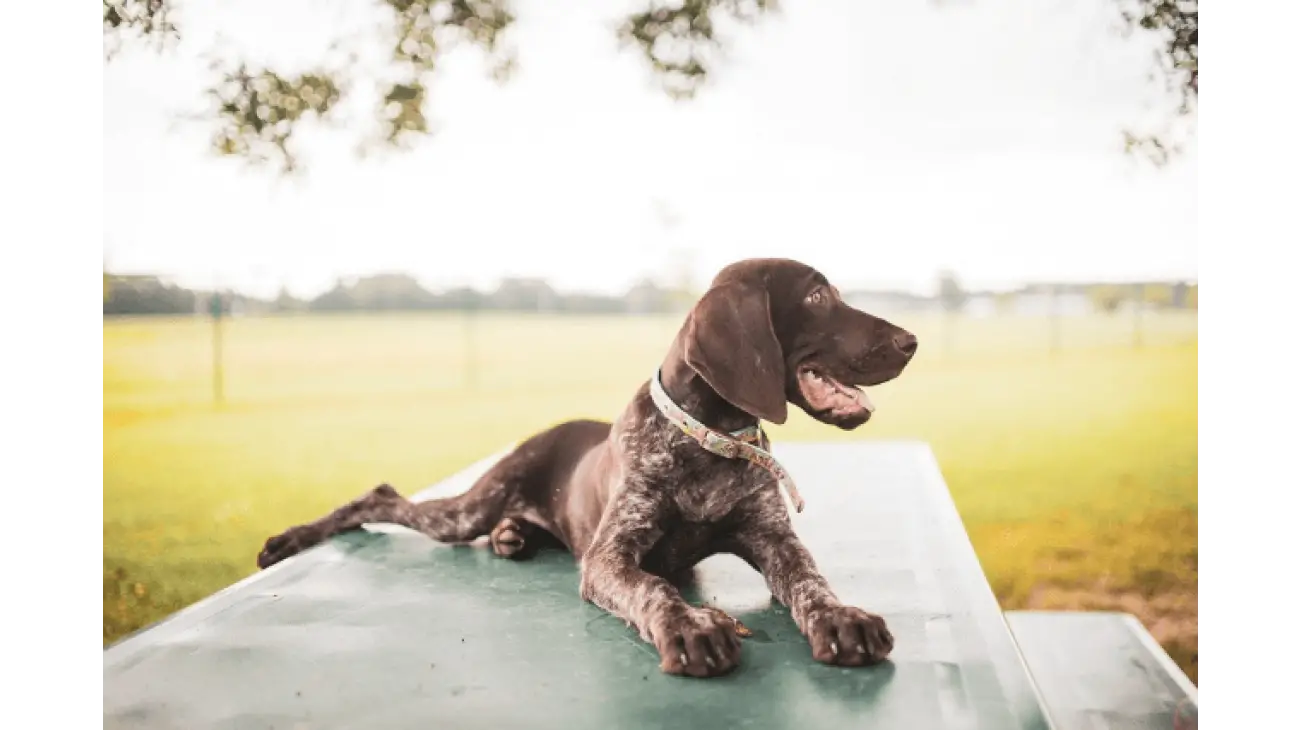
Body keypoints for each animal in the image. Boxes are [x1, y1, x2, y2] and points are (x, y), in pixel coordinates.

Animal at [258, 257, 920, 675]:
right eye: (817, 297)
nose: (911, 341)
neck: (710, 441)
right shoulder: (610, 557)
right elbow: (654, 587)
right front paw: (691, 627)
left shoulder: (774, 539)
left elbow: (812, 582)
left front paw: (842, 619)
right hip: (468, 508)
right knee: (384, 496)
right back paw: (293, 538)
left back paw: (513, 537)